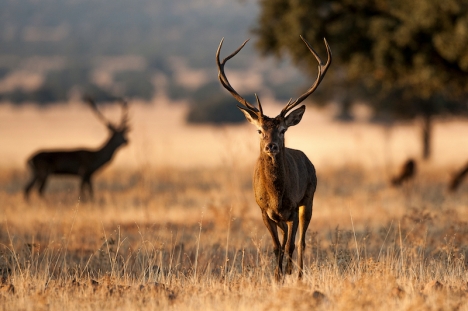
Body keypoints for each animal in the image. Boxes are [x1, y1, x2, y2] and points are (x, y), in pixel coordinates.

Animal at [218, 36, 330, 280]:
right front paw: (276, 277)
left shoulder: (293, 207)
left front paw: (289, 273)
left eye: (283, 129)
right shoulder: (263, 210)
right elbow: (276, 246)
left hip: (309, 198)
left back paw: (298, 273)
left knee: (301, 241)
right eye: (259, 130)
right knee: (287, 237)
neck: (277, 196)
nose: (272, 146)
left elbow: (290, 245)